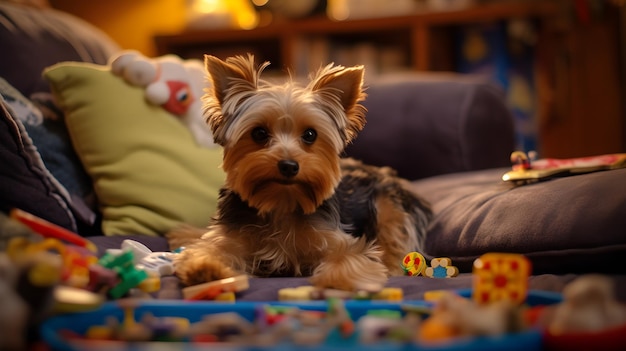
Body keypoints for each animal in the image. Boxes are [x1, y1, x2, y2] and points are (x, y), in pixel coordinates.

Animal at [166, 54, 428, 292]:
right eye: (259, 133)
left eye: (310, 134)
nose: (289, 165)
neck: (281, 203)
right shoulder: (230, 236)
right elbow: (208, 248)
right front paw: (204, 269)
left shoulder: (341, 240)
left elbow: (351, 255)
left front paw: (337, 281)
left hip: (389, 205)